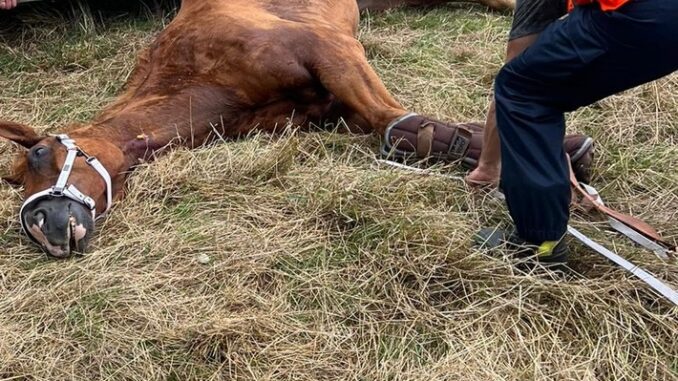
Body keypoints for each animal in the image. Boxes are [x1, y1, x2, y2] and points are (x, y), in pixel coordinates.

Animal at [0, 0, 592, 256]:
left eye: (40, 153)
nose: (44, 228)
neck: (199, 72)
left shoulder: (331, 49)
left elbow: (396, 121)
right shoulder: (321, 108)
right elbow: (404, 130)